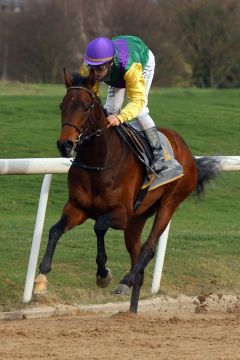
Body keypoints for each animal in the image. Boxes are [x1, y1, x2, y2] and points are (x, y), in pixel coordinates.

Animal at [33, 70, 219, 312]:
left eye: (86, 106)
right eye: (62, 105)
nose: (65, 145)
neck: (99, 161)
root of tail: (187, 152)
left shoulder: (121, 213)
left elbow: (99, 226)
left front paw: (103, 274)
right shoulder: (78, 208)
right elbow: (55, 230)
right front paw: (41, 278)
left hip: (169, 204)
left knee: (148, 248)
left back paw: (126, 279)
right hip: (137, 219)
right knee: (136, 252)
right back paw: (131, 306)